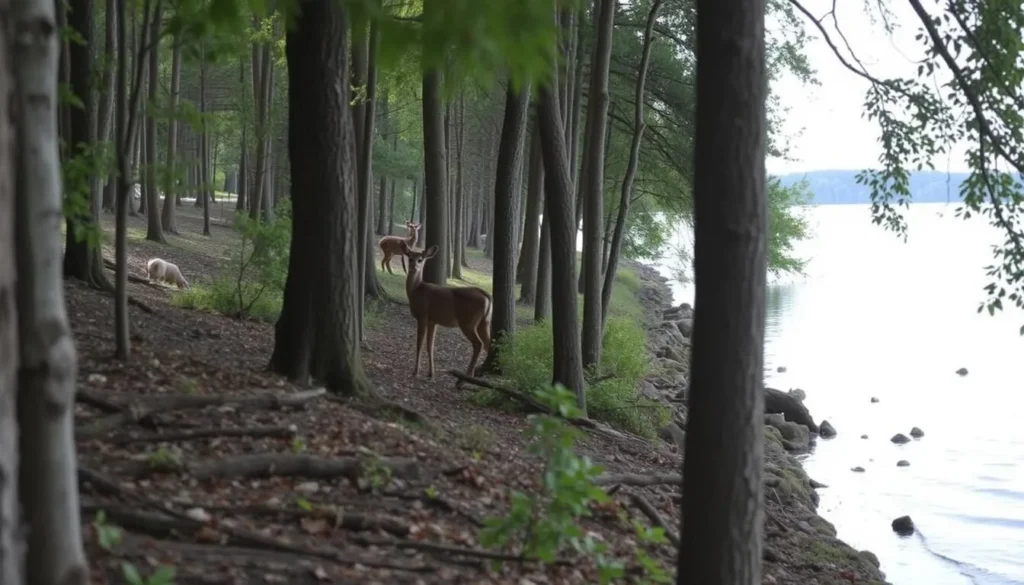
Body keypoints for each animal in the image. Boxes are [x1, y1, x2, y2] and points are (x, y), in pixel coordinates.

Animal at [403, 244, 492, 381]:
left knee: (478, 344)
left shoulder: (422, 316)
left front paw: (415, 371)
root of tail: (486, 295)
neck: (416, 291)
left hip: (468, 322)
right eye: (410, 258)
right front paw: (431, 373)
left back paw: (466, 377)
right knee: (489, 344)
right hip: (484, 322)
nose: (413, 267)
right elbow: (430, 345)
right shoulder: (432, 320)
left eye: (420, 259)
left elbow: (419, 344)